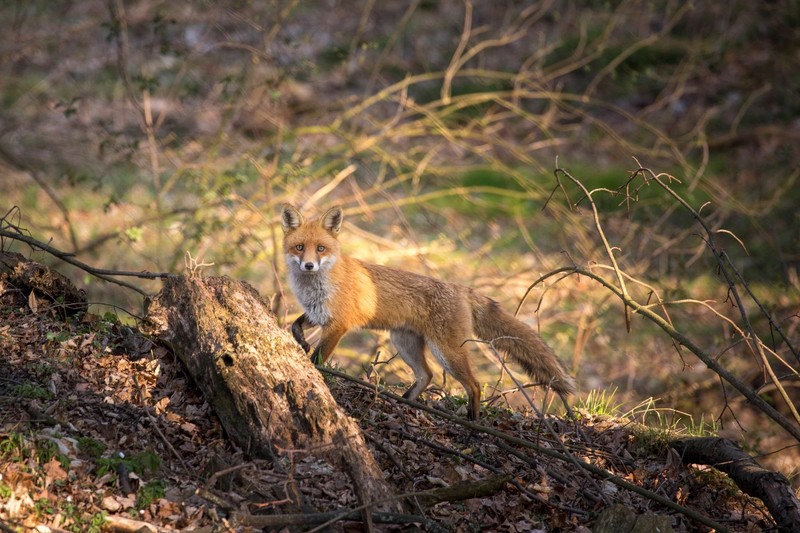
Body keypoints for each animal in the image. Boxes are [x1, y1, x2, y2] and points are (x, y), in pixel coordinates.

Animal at [280, 203, 576, 419]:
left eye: (321, 249)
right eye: (299, 247)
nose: (308, 265)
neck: (316, 285)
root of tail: (461, 288)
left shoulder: (339, 324)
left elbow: (318, 359)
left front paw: (315, 372)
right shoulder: (318, 314)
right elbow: (295, 325)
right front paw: (301, 342)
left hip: (446, 351)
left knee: (473, 385)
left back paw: (472, 419)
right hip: (404, 342)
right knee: (427, 375)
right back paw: (407, 403)